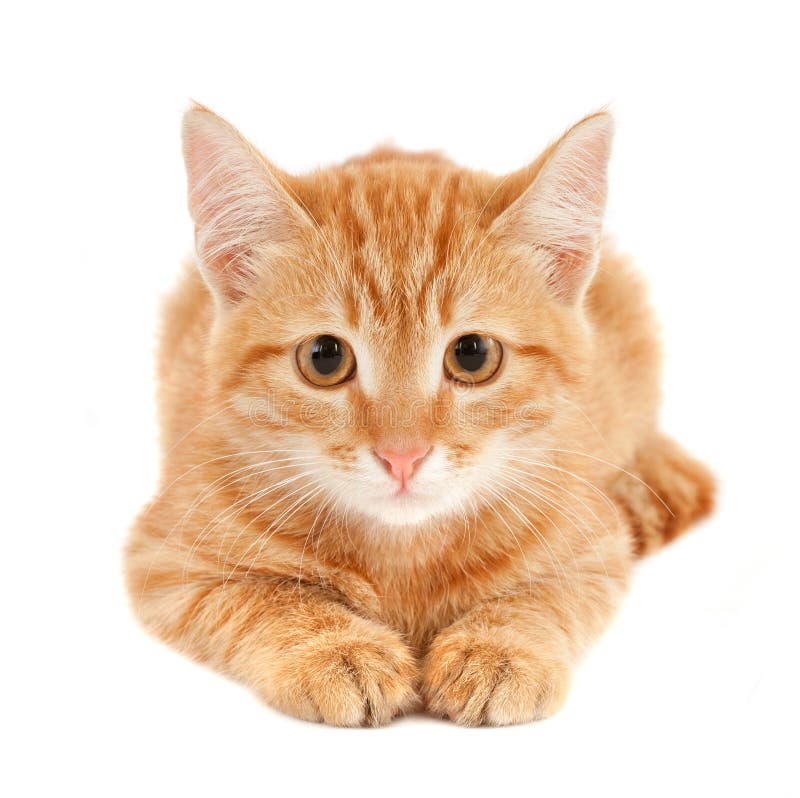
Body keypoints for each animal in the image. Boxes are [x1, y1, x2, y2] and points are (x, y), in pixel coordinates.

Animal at [125, 106, 712, 732]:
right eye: (324, 358)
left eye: (473, 355)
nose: (401, 455)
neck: (402, 555)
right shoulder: (165, 559)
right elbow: (266, 599)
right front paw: (337, 648)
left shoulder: (594, 543)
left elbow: (544, 599)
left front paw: (496, 649)